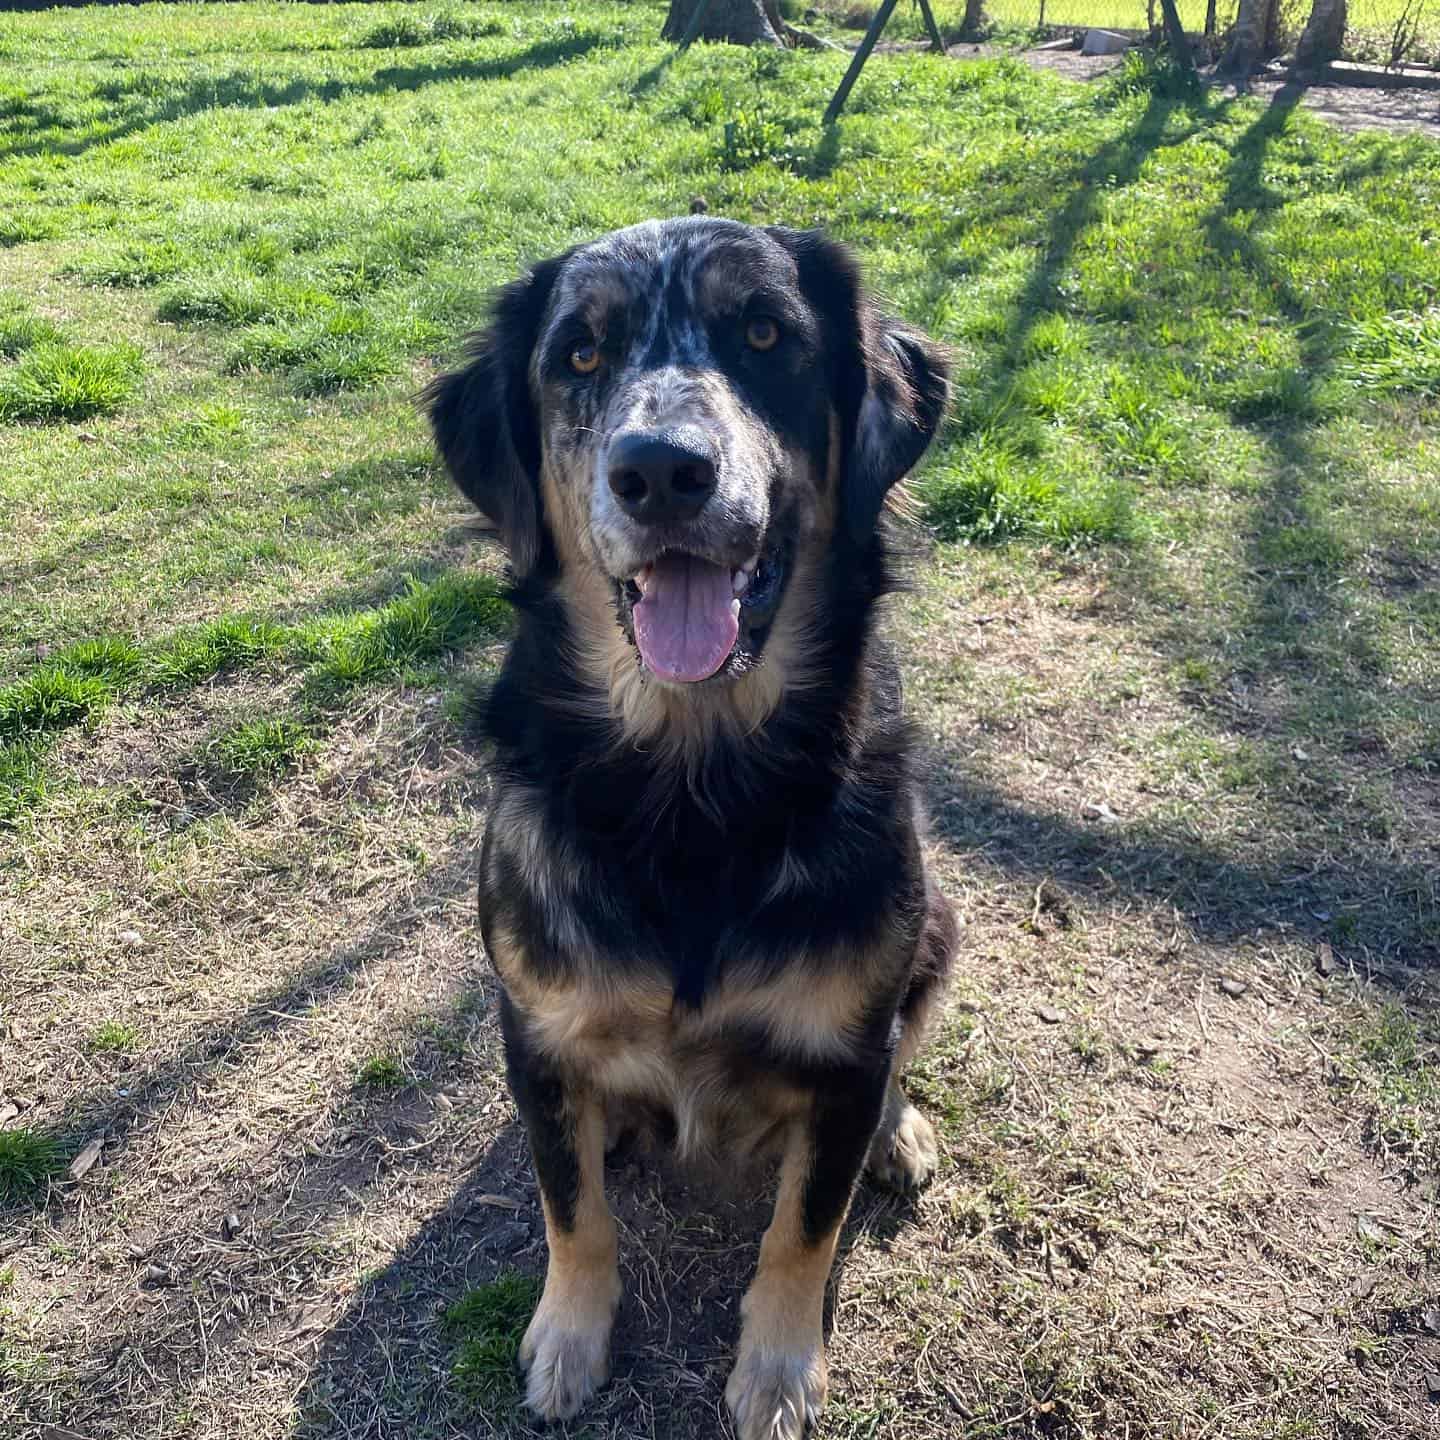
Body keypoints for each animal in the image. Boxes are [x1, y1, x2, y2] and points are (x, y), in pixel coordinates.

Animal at [423, 216, 956, 1440]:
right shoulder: (536, 1032)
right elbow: (571, 1207)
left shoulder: (845, 1051)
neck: (692, 794)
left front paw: (779, 1371)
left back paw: (900, 1132)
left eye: (764, 334)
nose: (661, 470)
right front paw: (569, 1338)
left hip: (940, 926)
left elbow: (804, 1226)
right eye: (579, 354)